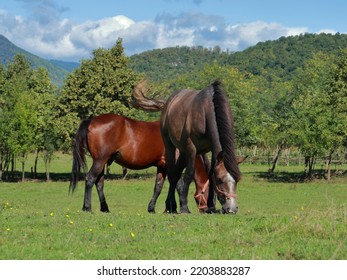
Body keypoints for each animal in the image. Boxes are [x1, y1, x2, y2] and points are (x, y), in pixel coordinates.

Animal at [68, 112, 212, 213]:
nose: (209, 210)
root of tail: (92, 120)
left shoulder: (162, 167)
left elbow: (158, 187)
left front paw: (154, 208)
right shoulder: (174, 167)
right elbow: (179, 186)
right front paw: (181, 209)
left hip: (102, 162)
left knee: (99, 183)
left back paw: (105, 208)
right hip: (100, 160)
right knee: (90, 179)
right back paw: (87, 207)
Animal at [133, 80, 242, 213]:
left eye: (237, 179)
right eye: (220, 179)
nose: (232, 209)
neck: (206, 111)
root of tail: (168, 103)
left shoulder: (211, 149)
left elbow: (210, 173)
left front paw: (211, 206)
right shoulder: (191, 148)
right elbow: (189, 175)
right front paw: (184, 207)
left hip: (182, 151)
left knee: (177, 173)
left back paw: (171, 206)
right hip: (171, 146)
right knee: (173, 173)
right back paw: (172, 206)